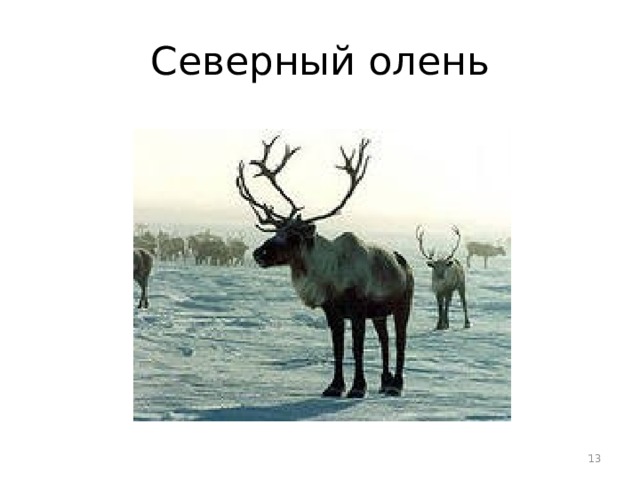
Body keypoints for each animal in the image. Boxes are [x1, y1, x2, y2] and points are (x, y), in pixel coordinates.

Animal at [236, 136, 414, 398]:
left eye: (294, 237)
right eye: (276, 231)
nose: (259, 253)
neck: (330, 275)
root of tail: (404, 262)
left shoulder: (358, 310)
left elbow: (357, 348)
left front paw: (358, 388)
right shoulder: (332, 311)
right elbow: (337, 348)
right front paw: (334, 386)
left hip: (403, 305)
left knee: (400, 340)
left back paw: (396, 385)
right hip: (379, 313)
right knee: (385, 340)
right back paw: (384, 382)